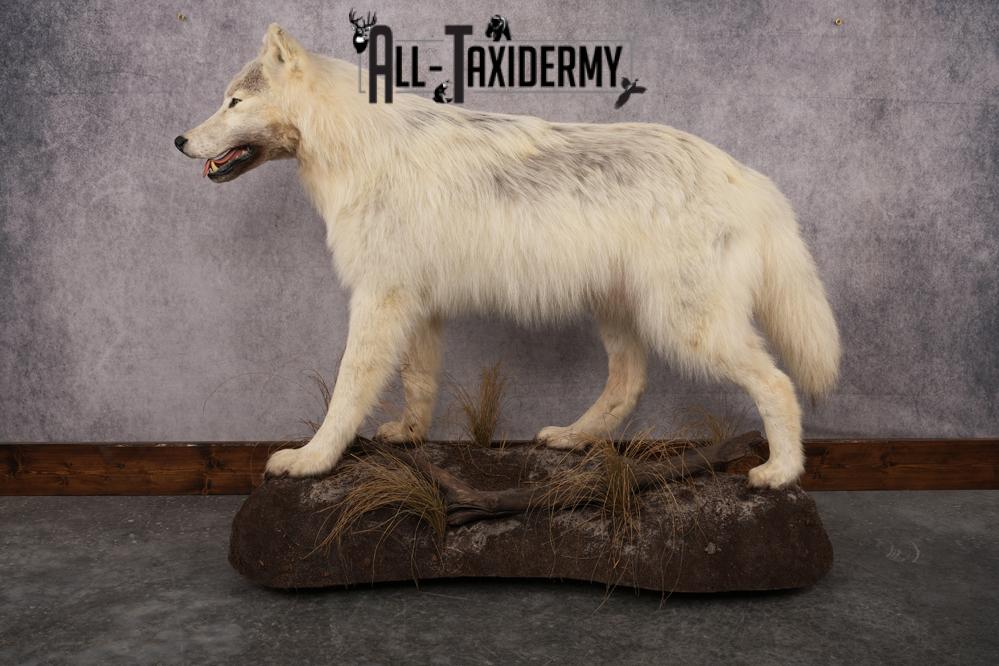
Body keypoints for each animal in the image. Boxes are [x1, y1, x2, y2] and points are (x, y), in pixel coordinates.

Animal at [175, 25, 840, 488]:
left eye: (233, 103)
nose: (179, 140)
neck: (359, 147)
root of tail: (750, 178)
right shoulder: (417, 306)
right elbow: (418, 383)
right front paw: (409, 437)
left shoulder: (379, 299)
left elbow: (347, 391)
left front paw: (312, 459)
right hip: (622, 317)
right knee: (629, 385)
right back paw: (573, 438)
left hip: (689, 330)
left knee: (777, 384)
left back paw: (781, 474)